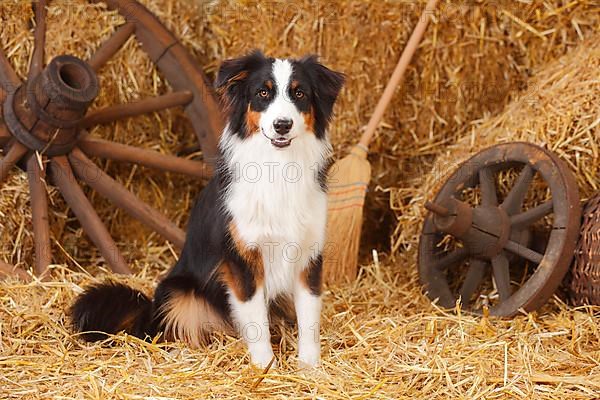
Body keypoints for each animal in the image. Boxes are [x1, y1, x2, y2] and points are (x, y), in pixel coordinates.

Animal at [70, 50, 344, 368]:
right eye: (263, 93)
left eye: (299, 93)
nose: (282, 125)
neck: (279, 166)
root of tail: (147, 312)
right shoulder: (242, 258)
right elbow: (256, 322)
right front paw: (265, 367)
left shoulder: (308, 255)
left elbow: (309, 318)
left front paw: (310, 368)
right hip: (178, 292)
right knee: (169, 331)